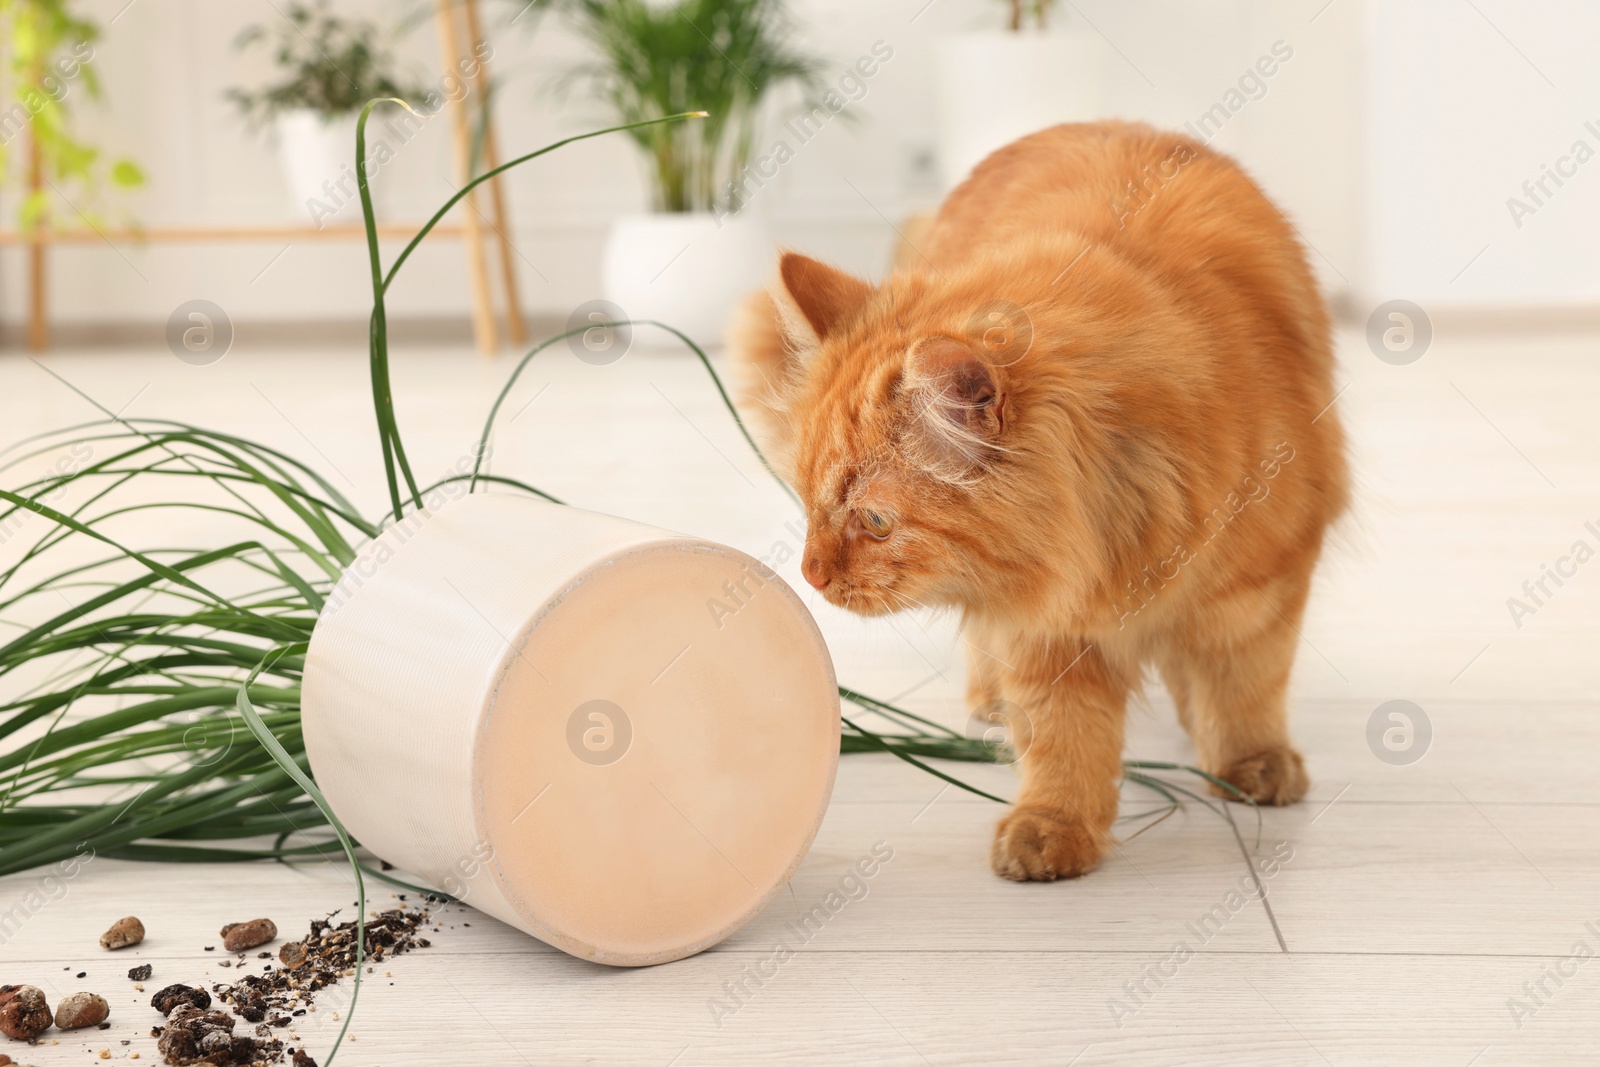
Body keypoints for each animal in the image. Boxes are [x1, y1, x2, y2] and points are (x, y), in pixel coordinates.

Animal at [732, 120, 1344, 883]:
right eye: (808, 503)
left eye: (874, 521)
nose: (810, 574)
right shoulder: (1045, 626)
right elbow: (1065, 738)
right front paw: (1055, 827)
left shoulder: (1259, 585)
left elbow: (1244, 690)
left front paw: (1250, 768)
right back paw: (993, 705)